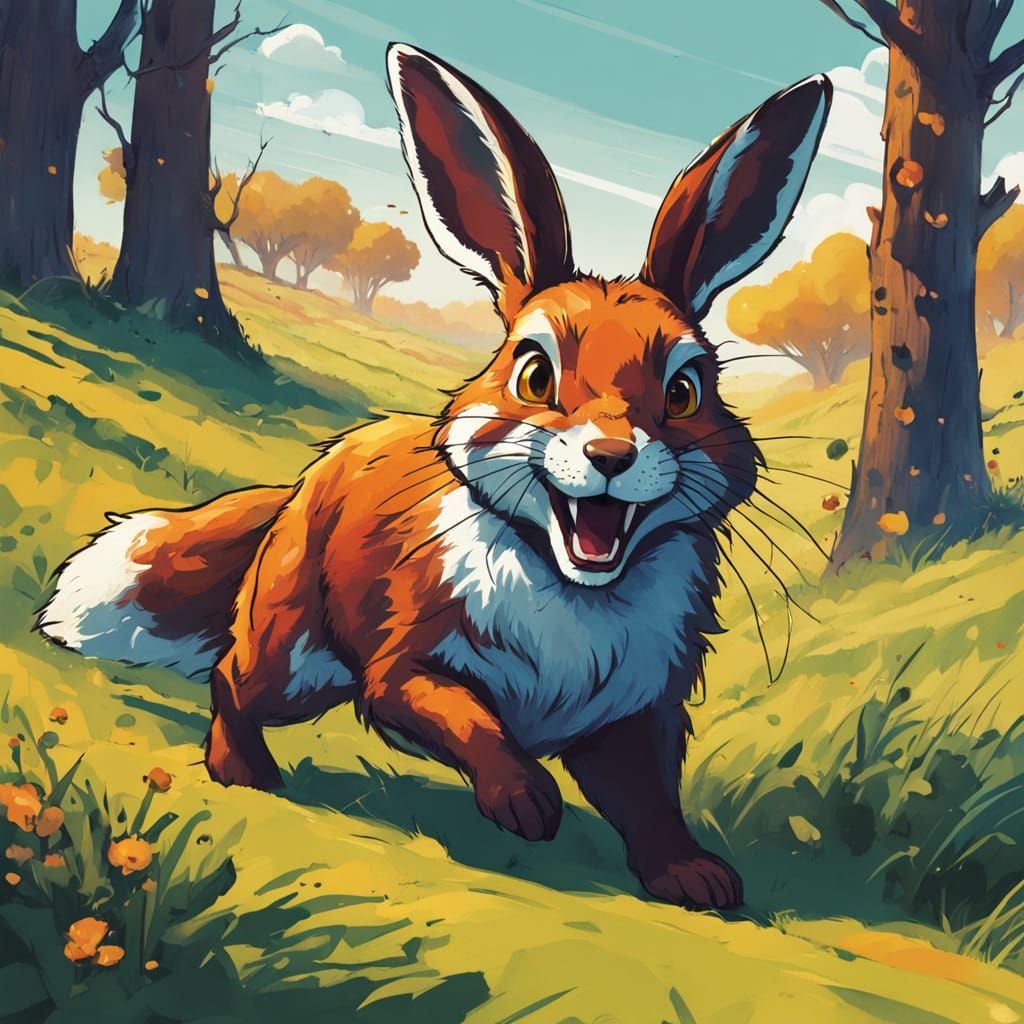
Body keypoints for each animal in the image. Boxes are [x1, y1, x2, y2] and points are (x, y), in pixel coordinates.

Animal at [38, 44, 831, 909]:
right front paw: (525, 803)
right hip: (291, 654)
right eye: (534, 375)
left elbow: (649, 801)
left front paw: (696, 879)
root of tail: (306, 481)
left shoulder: (632, 717)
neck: (574, 588)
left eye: (687, 391)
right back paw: (244, 774)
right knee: (229, 682)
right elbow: (463, 717)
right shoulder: (408, 663)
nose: (612, 456)